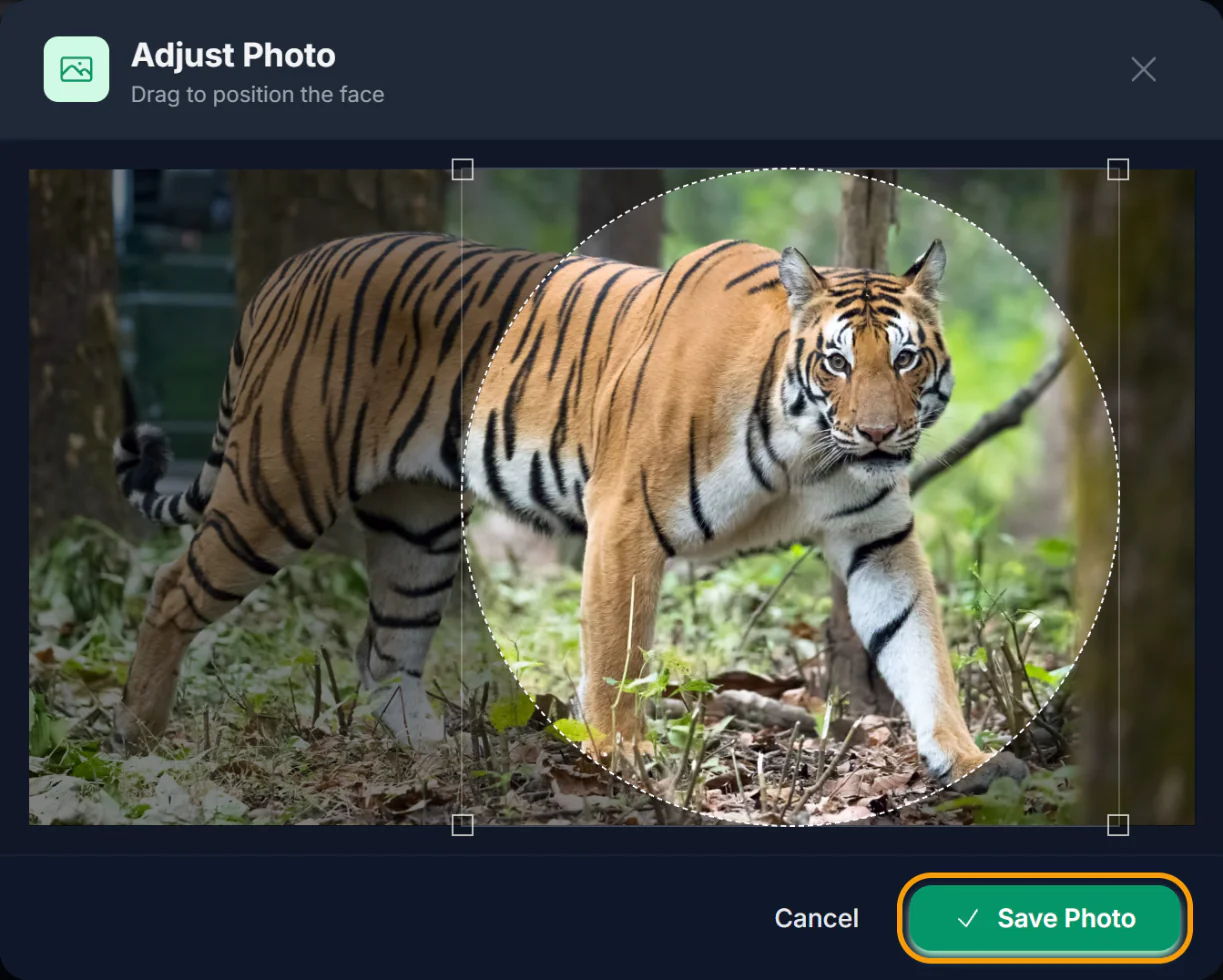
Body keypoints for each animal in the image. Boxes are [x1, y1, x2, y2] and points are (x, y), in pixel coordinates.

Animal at [113, 230, 1020, 791]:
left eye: (905, 359)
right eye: (835, 362)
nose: (878, 433)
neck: (810, 445)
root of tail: (287, 270)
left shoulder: (877, 538)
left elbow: (918, 647)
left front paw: (967, 757)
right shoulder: (625, 516)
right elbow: (615, 654)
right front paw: (624, 756)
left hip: (417, 529)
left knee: (386, 654)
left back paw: (437, 760)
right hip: (277, 490)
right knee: (169, 589)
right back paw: (139, 733)